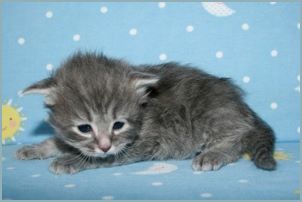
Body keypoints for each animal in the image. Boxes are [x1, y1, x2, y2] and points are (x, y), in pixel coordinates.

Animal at [15, 52, 276, 174]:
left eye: (118, 125)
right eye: (84, 128)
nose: (105, 146)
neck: (143, 113)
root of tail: (239, 103)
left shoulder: (144, 144)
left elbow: (103, 159)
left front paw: (71, 160)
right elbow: (60, 141)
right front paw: (36, 148)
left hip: (212, 113)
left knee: (236, 140)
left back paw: (213, 154)